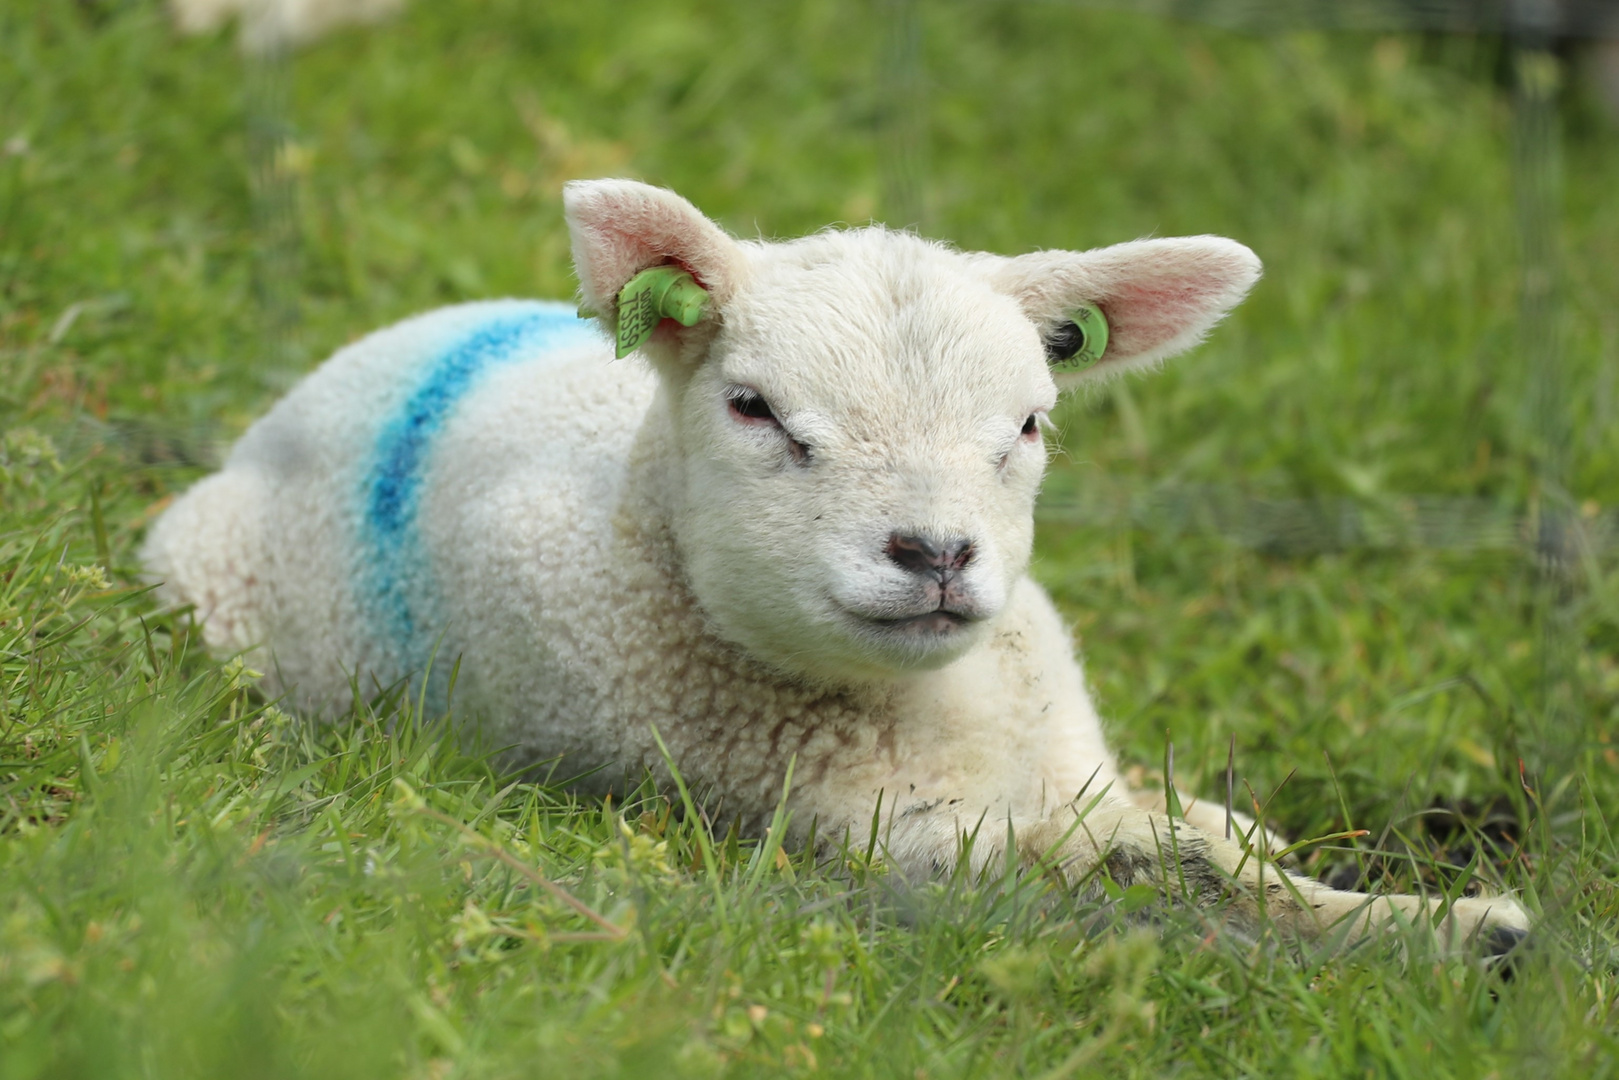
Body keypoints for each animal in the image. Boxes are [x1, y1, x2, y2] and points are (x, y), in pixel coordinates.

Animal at [142, 181, 1528, 952]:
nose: (935, 552)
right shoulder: (855, 831)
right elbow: (1152, 870)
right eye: (752, 408)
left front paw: (1441, 918)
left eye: (1029, 423)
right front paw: (1437, 929)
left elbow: (1209, 845)